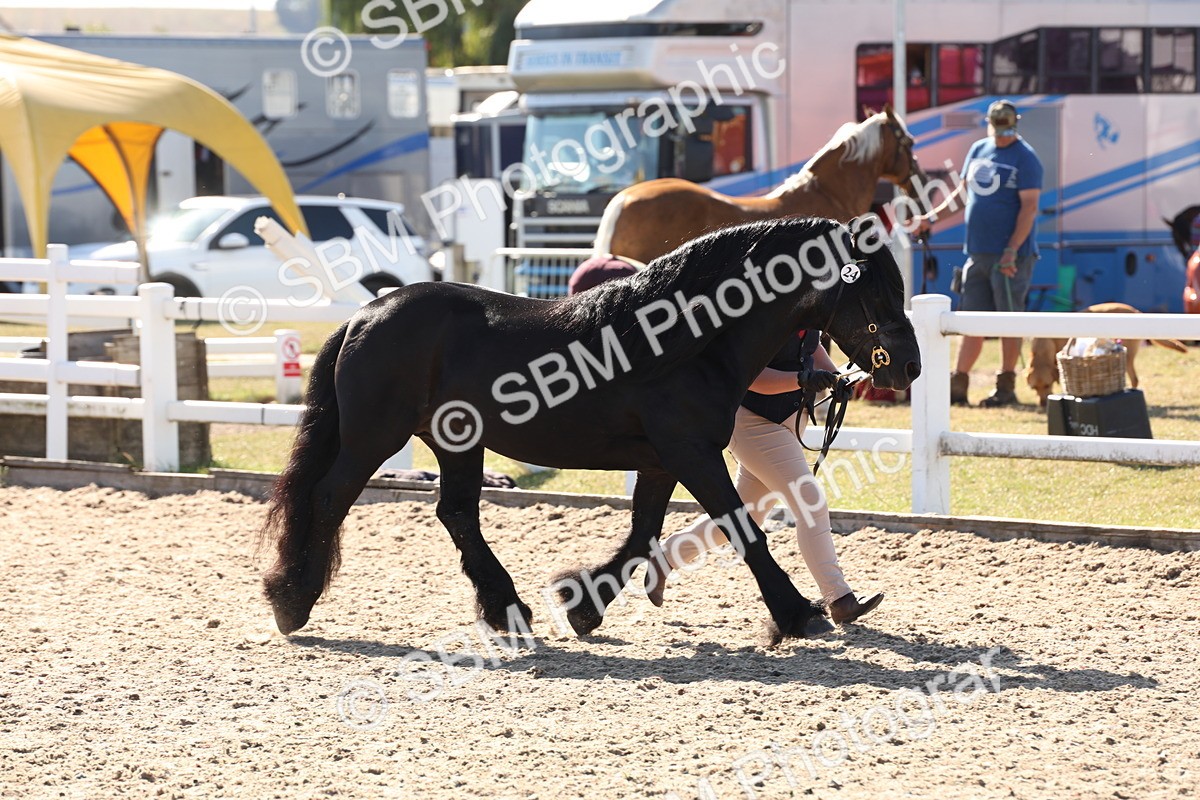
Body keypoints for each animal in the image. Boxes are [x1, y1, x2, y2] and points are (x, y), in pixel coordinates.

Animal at [260, 216, 921, 643]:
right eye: (874, 288)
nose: (909, 366)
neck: (685, 340)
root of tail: (365, 314)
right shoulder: (692, 453)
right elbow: (741, 529)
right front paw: (795, 612)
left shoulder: (661, 460)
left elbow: (642, 536)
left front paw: (582, 606)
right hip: (376, 438)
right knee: (329, 497)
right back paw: (292, 602)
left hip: (457, 442)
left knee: (457, 513)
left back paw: (507, 611)